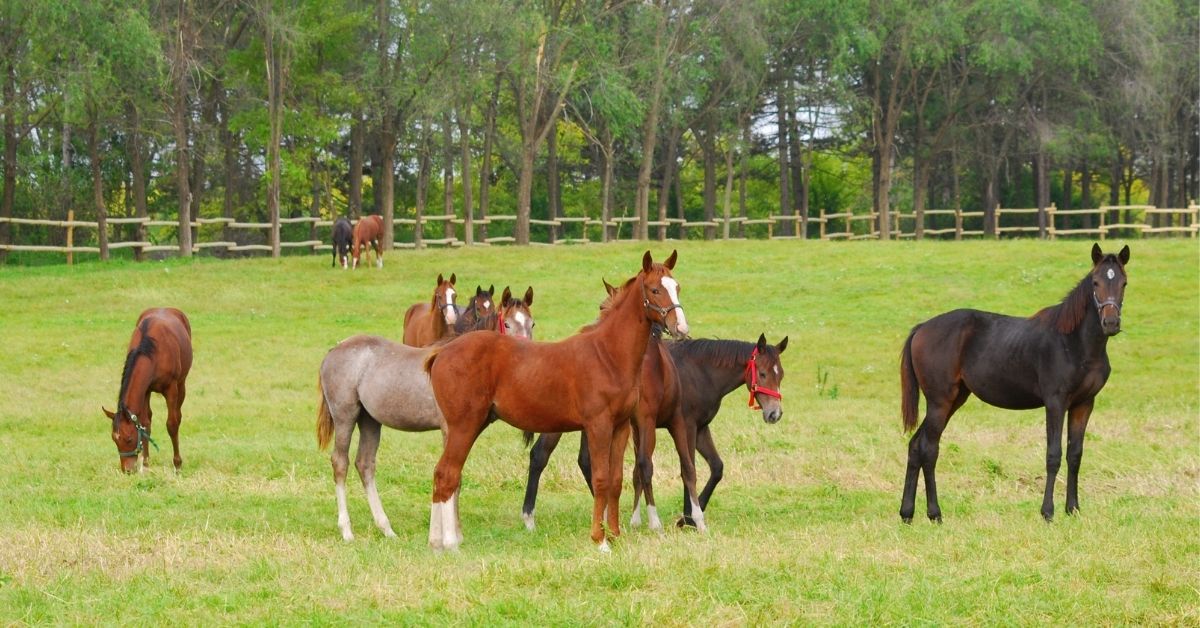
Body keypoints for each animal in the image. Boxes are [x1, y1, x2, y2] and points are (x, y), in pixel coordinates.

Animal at [103, 307, 194, 475]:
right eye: (114, 439)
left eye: (129, 439)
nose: (127, 470)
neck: (152, 350)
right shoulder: (145, 390)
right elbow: (145, 423)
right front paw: (145, 464)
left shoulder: (171, 388)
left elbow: (172, 424)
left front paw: (177, 465)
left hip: (181, 383)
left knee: (178, 415)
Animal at [316, 295, 537, 540]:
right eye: (507, 324)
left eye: (532, 323)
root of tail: (334, 350)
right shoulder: (450, 429)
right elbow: (454, 477)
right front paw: (454, 533)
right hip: (345, 416)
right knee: (340, 463)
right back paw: (347, 531)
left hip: (370, 420)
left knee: (365, 464)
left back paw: (386, 528)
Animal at [424, 248, 691, 552]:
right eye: (655, 289)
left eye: (677, 287)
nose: (681, 327)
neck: (607, 355)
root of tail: (442, 353)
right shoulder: (598, 425)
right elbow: (600, 478)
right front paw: (600, 541)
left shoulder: (621, 426)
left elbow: (616, 479)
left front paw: (615, 534)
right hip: (464, 426)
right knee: (447, 474)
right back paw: (449, 544)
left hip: (472, 424)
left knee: (443, 474)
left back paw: (437, 541)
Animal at [523, 331, 792, 533]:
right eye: (763, 373)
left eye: (781, 375)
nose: (774, 414)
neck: (699, 371)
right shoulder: (686, 426)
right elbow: (687, 468)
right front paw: (688, 517)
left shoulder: (701, 428)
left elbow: (716, 467)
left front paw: (687, 516)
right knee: (540, 455)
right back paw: (529, 517)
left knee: (584, 460)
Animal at [902, 243, 1132, 523]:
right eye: (1096, 282)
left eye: (1123, 282)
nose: (1111, 323)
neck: (1074, 343)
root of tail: (922, 328)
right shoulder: (1055, 403)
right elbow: (1053, 455)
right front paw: (1047, 512)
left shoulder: (1084, 404)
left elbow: (1075, 454)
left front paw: (1073, 509)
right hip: (939, 401)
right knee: (929, 448)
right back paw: (935, 513)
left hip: (955, 399)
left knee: (916, 445)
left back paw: (907, 513)